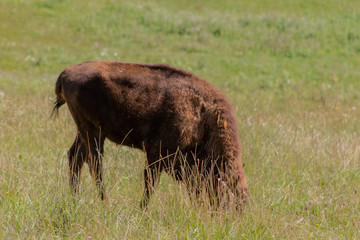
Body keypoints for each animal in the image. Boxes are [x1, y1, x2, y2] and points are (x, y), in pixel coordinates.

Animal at [52, 61, 248, 209]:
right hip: (93, 133)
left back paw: (75, 198)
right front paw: (142, 210)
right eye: (229, 194)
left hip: (85, 132)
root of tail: (65, 73)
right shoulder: (156, 154)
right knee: (94, 164)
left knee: (75, 157)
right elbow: (150, 184)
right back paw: (105, 202)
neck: (202, 116)